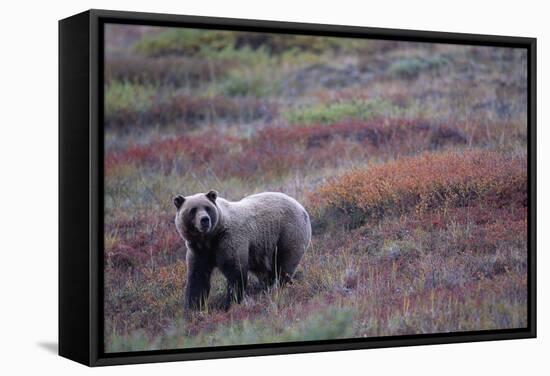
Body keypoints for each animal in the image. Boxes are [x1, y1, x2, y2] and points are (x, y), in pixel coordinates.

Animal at [175, 189, 312, 310]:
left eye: (207, 207)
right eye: (193, 210)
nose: (204, 220)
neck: (210, 238)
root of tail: (300, 205)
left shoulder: (229, 240)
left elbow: (235, 273)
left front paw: (230, 304)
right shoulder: (198, 250)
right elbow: (197, 278)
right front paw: (192, 308)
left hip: (288, 233)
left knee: (284, 266)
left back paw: (281, 287)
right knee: (267, 274)